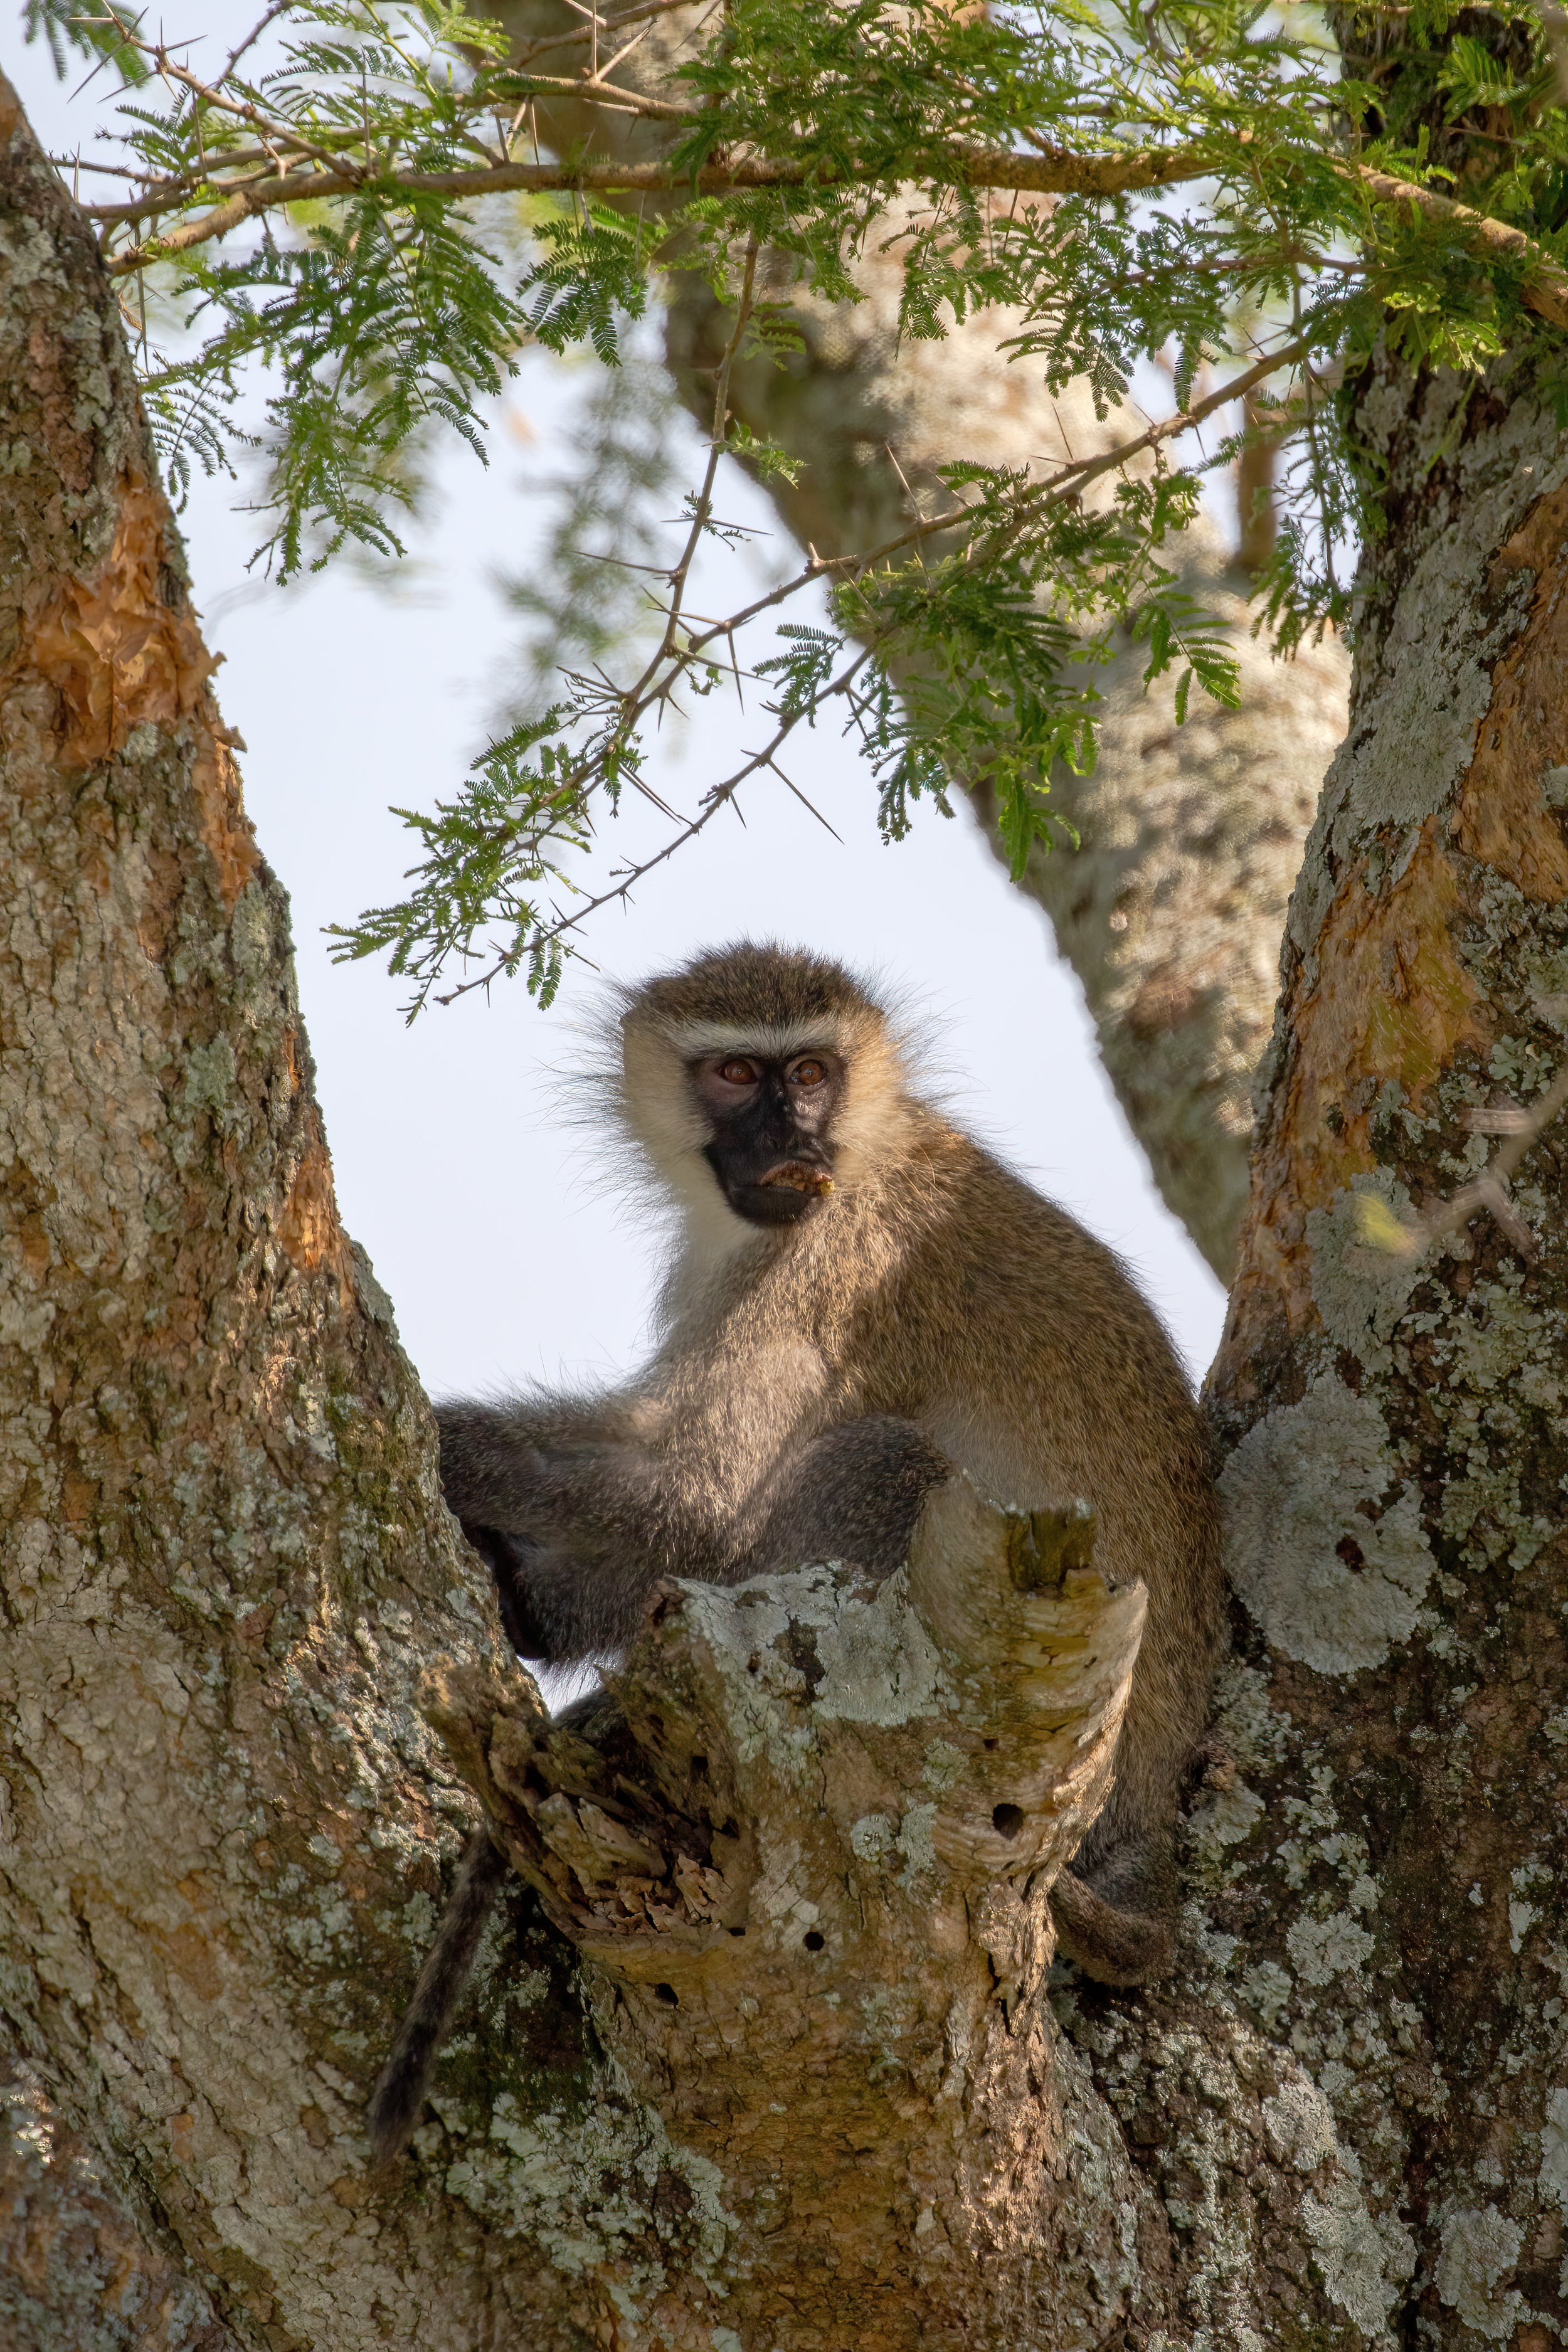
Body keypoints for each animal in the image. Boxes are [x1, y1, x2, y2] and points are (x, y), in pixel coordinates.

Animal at [367, 942, 1221, 2166]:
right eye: (736, 1073)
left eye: (810, 1072)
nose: (790, 1141)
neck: (868, 1153)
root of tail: (1145, 1814)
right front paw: (527, 1592)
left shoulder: (833, 1263)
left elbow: (696, 1502)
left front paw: (450, 1445)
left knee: (880, 1459)